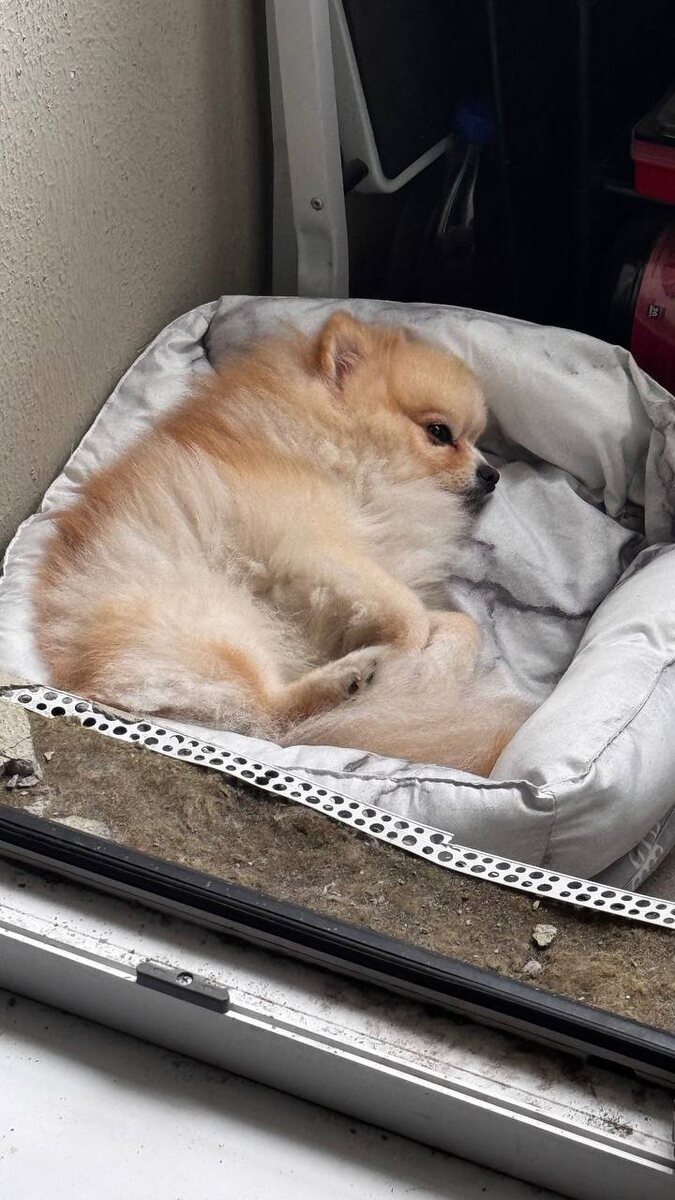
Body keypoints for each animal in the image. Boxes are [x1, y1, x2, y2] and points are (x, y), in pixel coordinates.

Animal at [34, 312, 529, 774]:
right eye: (441, 434)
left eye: (478, 441)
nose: (491, 474)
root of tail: (76, 673)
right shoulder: (315, 546)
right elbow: (409, 616)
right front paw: (410, 660)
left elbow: (460, 624)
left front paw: (432, 657)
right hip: (214, 622)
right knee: (269, 718)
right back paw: (352, 679)